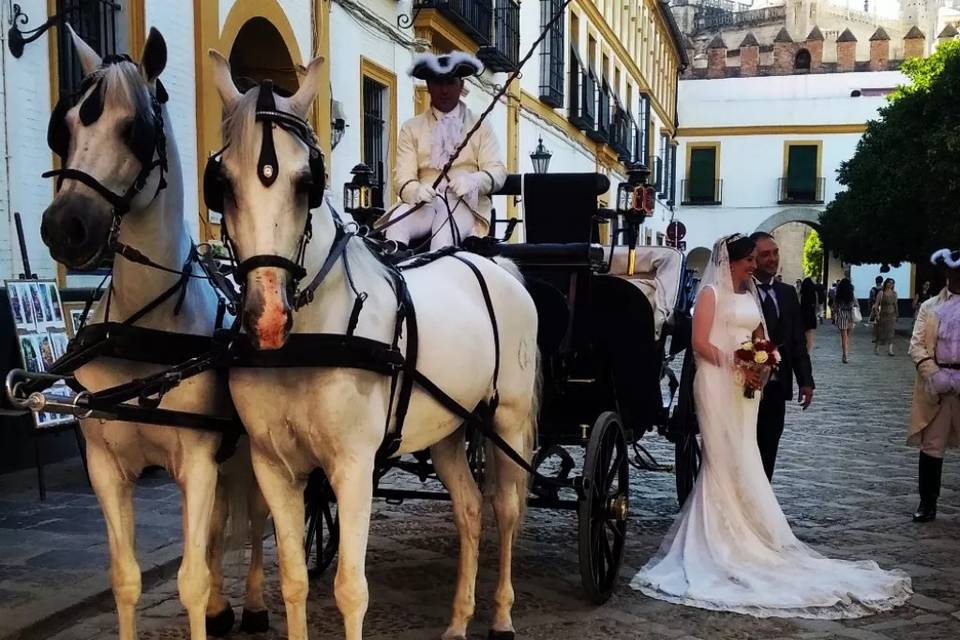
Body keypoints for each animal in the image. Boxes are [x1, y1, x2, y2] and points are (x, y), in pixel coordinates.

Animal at [39, 26, 268, 640]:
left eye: (135, 129)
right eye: (64, 127)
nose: (64, 227)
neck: (138, 334)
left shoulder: (197, 461)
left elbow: (188, 581)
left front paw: (211, 603)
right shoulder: (107, 468)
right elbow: (127, 578)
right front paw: (209, 607)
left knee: (258, 522)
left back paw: (255, 603)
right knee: (220, 525)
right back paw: (225, 607)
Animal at [207, 53, 540, 640]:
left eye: (308, 181)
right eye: (221, 182)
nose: (267, 319)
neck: (310, 340)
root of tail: (493, 261)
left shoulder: (353, 467)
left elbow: (350, 589)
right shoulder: (275, 465)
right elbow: (293, 580)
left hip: (507, 422)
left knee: (505, 509)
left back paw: (501, 614)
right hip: (449, 427)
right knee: (470, 509)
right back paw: (459, 619)